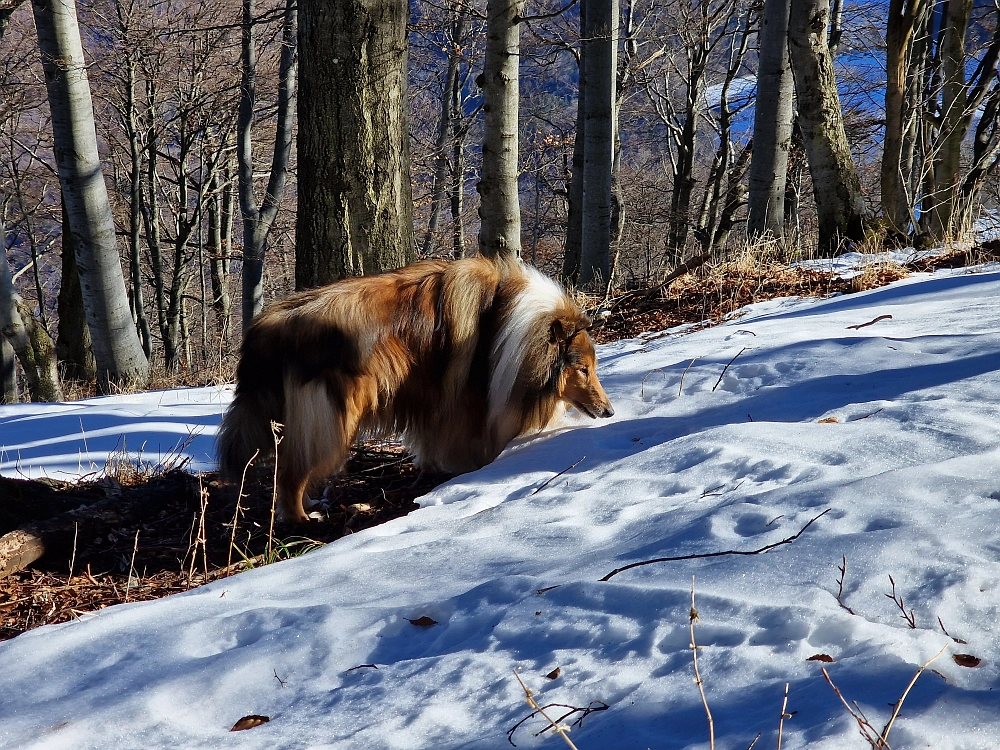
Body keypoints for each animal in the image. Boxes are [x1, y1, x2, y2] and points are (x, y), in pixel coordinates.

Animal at [215, 256, 612, 520]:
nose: (609, 412)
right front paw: (471, 470)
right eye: (583, 369)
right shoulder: (466, 400)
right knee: (291, 472)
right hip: (332, 419)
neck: (504, 321)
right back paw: (300, 518)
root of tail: (268, 327)